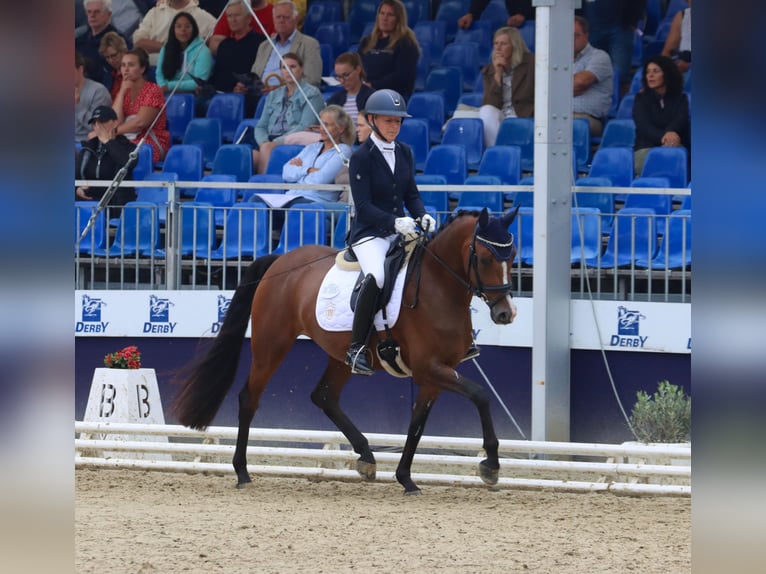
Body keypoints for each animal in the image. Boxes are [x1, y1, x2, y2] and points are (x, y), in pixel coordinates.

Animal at [174, 207, 520, 496]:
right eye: (485, 258)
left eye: (512, 256)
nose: (506, 314)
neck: (438, 289)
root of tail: (281, 260)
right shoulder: (430, 368)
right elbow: (481, 396)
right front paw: (491, 465)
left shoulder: (433, 375)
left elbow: (417, 425)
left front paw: (406, 478)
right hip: (271, 343)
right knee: (250, 397)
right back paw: (242, 472)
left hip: (340, 355)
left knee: (324, 395)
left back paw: (366, 456)